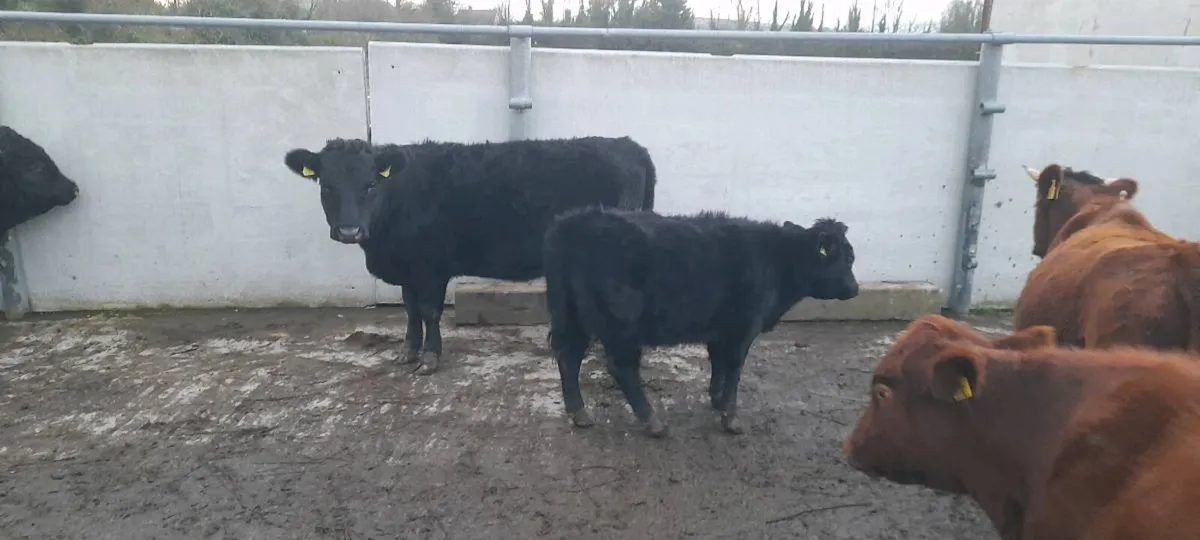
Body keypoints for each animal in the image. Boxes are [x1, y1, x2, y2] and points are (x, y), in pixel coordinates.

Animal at [284, 136, 657, 375]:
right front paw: (408, 352)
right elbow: (410, 311)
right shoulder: (407, 268)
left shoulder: (429, 267)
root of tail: (628, 144)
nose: (349, 231)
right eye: (327, 186)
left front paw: (430, 358)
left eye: (371, 184)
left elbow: (429, 311)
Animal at [543, 206, 859, 437]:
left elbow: (718, 363)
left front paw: (716, 399)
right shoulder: (743, 328)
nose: (855, 289)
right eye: (846, 258)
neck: (776, 260)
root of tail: (573, 223)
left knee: (568, 355)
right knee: (621, 368)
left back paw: (579, 412)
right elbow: (734, 368)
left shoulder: (720, 330)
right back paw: (652, 421)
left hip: (571, 315)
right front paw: (731, 418)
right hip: (620, 322)